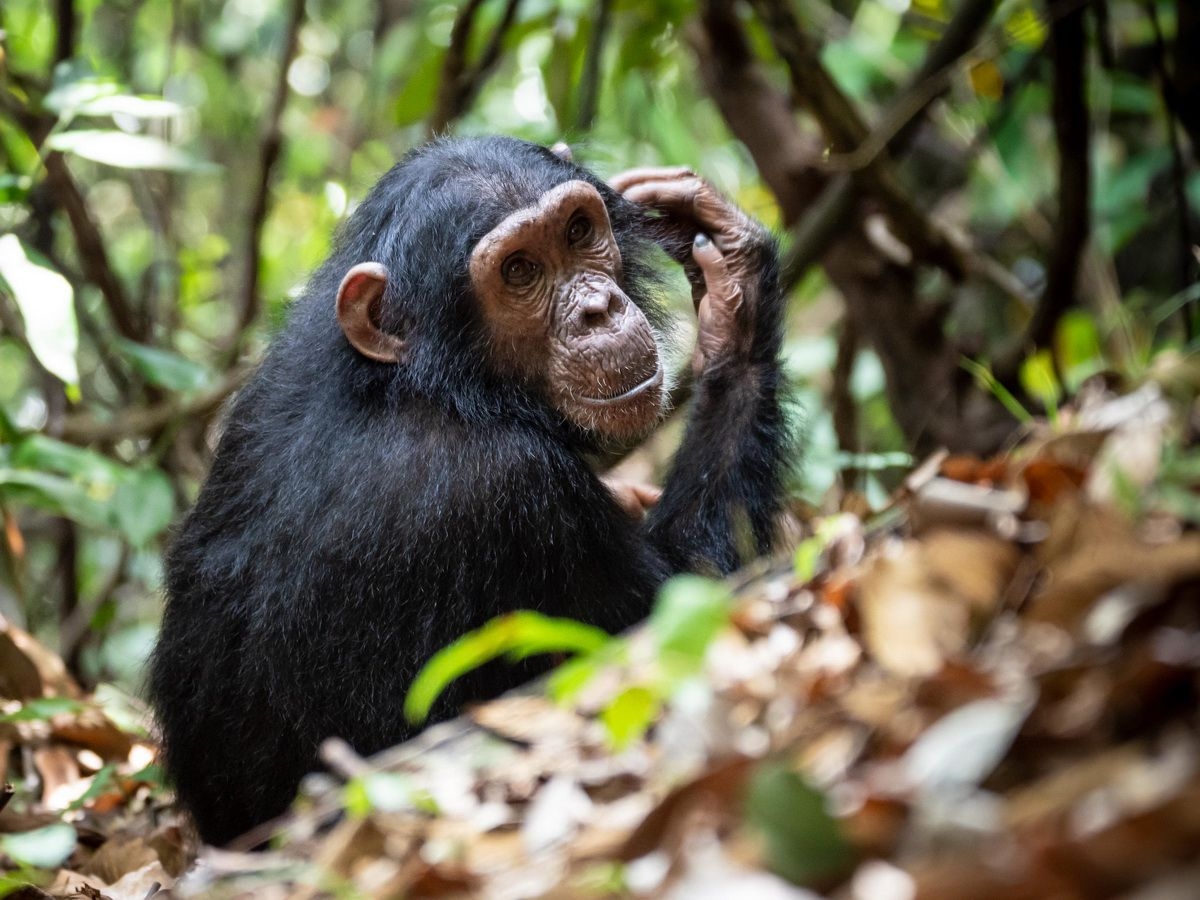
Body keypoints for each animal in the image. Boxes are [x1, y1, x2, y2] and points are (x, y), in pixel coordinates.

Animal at [147, 133, 787, 844]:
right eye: (518, 271)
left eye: (578, 231)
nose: (597, 310)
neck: (433, 385)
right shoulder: (514, 494)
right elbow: (687, 609)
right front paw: (739, 314)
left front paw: (726, 254)